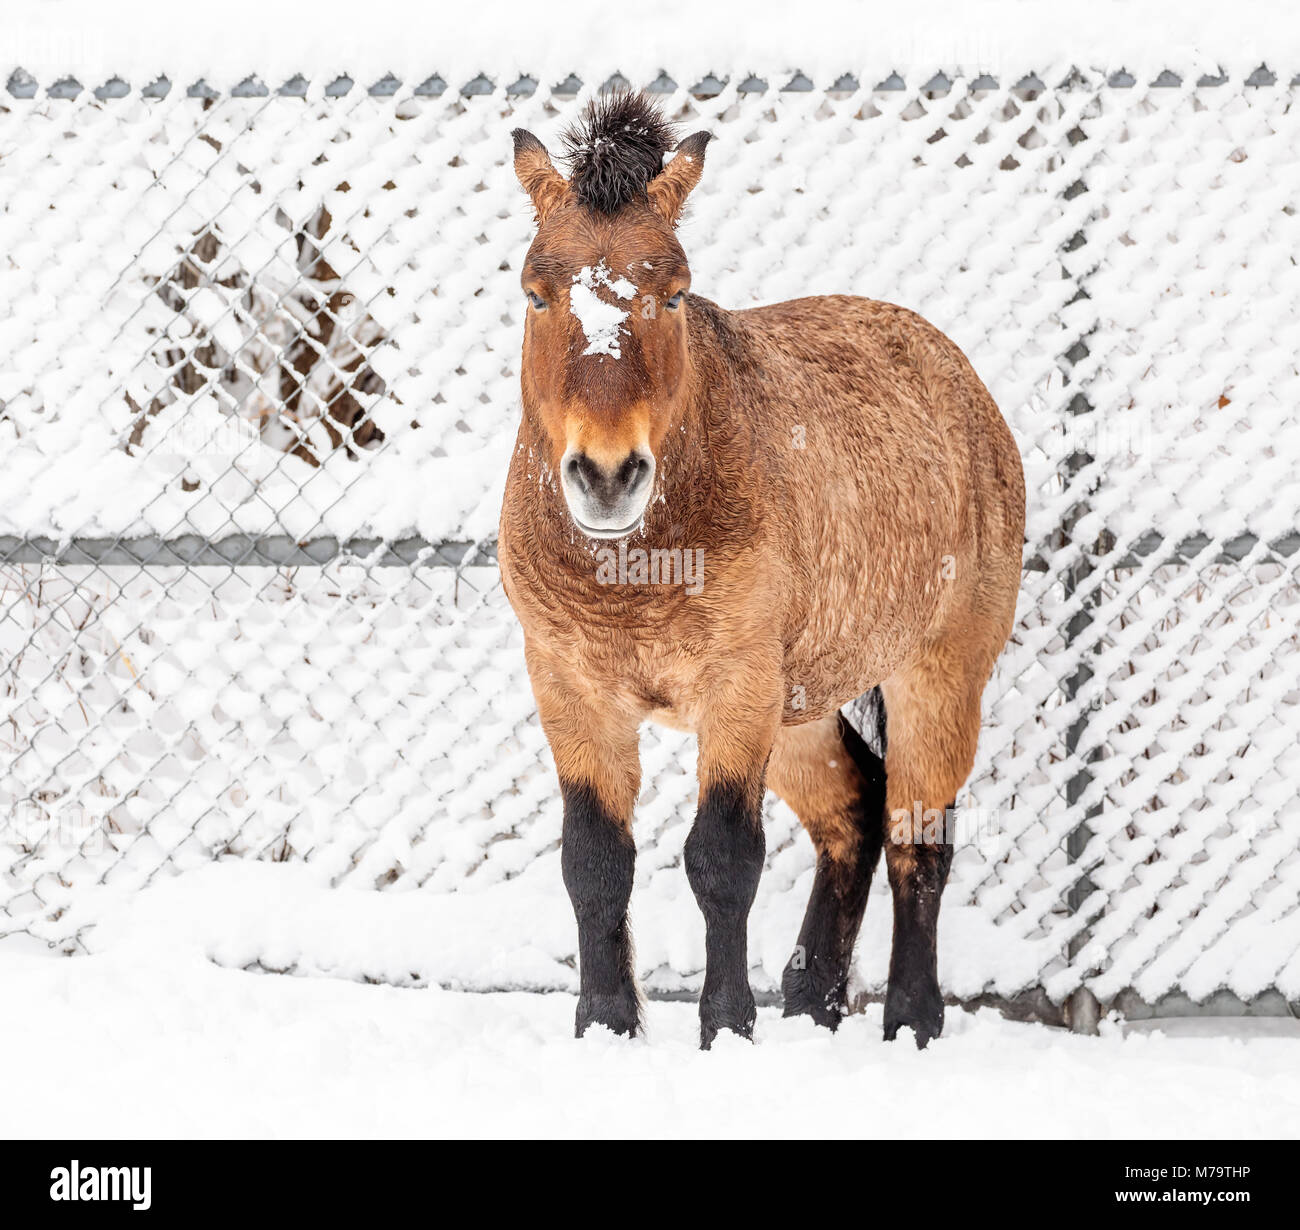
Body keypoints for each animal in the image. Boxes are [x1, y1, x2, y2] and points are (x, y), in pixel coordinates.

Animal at [496, 91, 1024, 1045]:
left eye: (672, 292)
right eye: (534, 290)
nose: (606, 474)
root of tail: (960, 379)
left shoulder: (735, 685)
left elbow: (722, 859)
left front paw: (727, 1028)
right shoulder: (568, 686)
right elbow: (594, 861)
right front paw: (607, 1027)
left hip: (937, 675)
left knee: (916, 839)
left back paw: (910, 1020)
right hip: (800, 707)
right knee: (853, 815)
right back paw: (813, 1001)